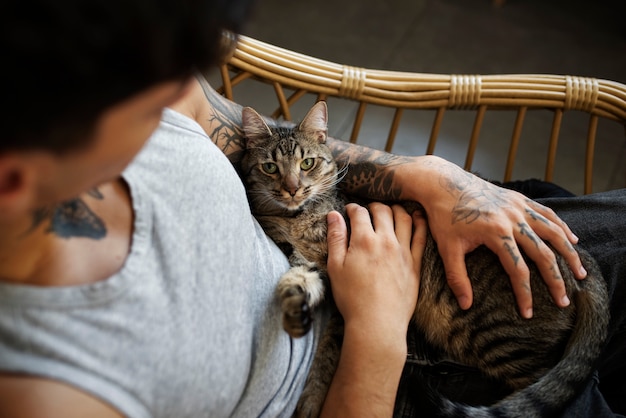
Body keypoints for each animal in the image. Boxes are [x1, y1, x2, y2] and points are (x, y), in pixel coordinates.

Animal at [240, 101, 608, 418]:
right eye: (270, 167)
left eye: (307, 163)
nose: (291, 188)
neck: (296, 220)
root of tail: (576, 259)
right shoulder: (310, 265)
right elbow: (299, 280)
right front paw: (294, 306)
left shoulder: (340, 293)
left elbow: (328, 354)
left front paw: (312, 399)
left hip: (502, 339)